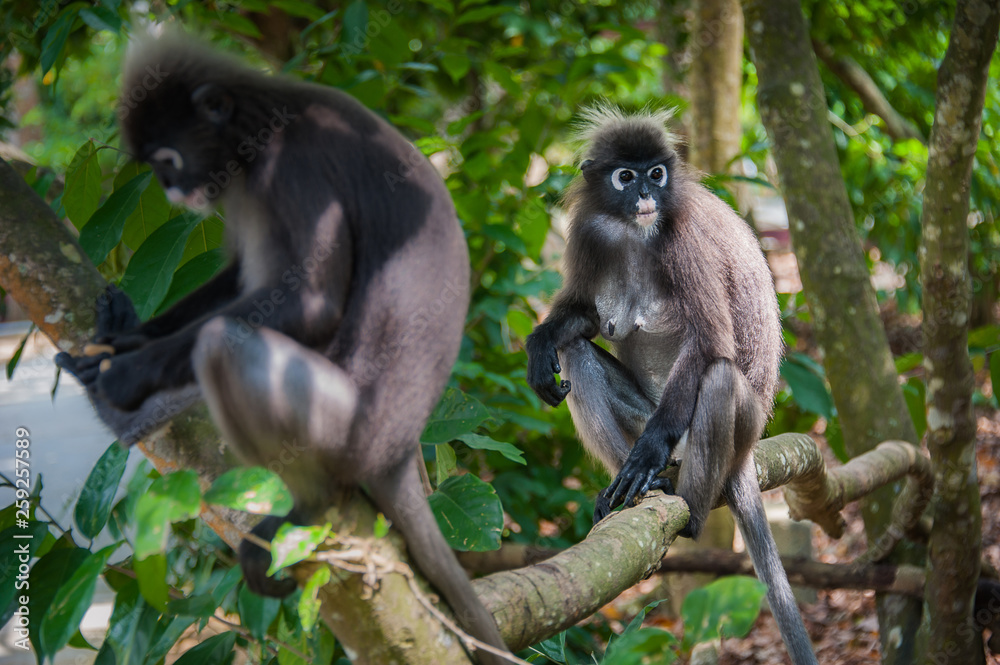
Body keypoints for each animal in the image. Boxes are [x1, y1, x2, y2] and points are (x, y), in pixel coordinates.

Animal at [55, 34, 509, 664]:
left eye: (167, 162)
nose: (169, 190)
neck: (262, 122)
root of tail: (397, 455)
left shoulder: (289, 169)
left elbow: (310, 303)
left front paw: (128, 373)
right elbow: (238, 277)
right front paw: (127, 336)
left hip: (340, 428)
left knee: (221, 344)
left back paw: (307, 505)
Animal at [525, 106, 817, 665]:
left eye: (656, 173)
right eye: (626, 176)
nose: (646, 194)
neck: (633, 231)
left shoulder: (684, 239)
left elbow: (709, 342)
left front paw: (647, 456)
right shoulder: (589, 231)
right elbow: (583, 320)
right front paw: (542, 340)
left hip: (733, 429)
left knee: (719, 377)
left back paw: (683, 504)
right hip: (643, 412)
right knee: (576, 354)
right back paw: (625, 492)